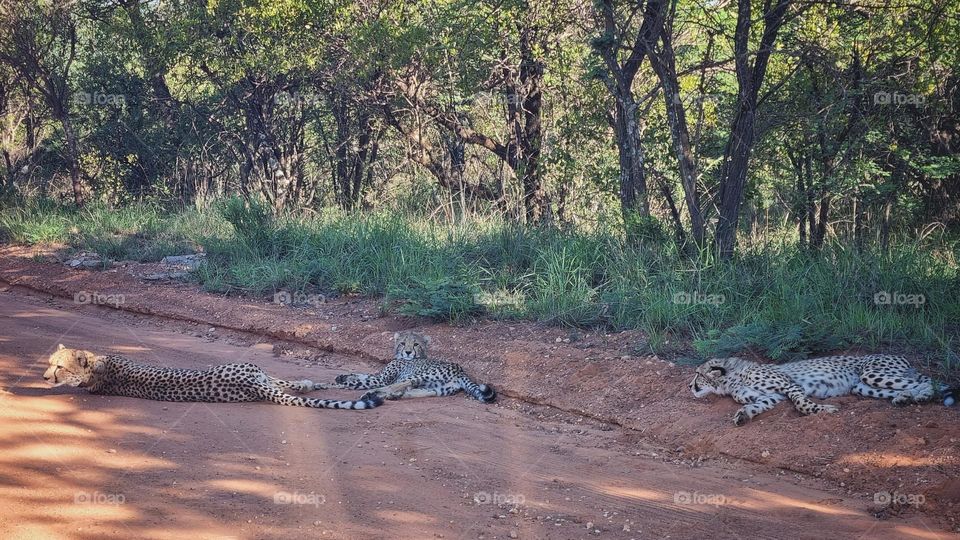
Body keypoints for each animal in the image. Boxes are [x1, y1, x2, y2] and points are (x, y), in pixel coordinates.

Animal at [320, 332, 498, 402]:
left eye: (416, 344)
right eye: (403, 343)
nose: (407, 352)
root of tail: (460, 369)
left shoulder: (381, 380)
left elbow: (360, 381)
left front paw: (331, 383)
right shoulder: (379, 376)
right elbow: (363, 374)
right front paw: (342, 376)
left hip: (423, 375)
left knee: (399, 384)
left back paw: (373, 394)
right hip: (439, 388)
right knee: (420, 392)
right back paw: (394, 396)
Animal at [688, 354, 952, 426]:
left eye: (698, 374)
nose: (689, 386)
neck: (732, 378)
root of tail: (904, 357)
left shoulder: (789, 385)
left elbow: (801, 403)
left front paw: (824, 410)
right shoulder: (772, 396)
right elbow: (755, 404)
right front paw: (743, 415)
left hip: (871, 372)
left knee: (929, 383)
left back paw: (922, 396)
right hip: (863, 387)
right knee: (909, 388)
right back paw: (904, 398)